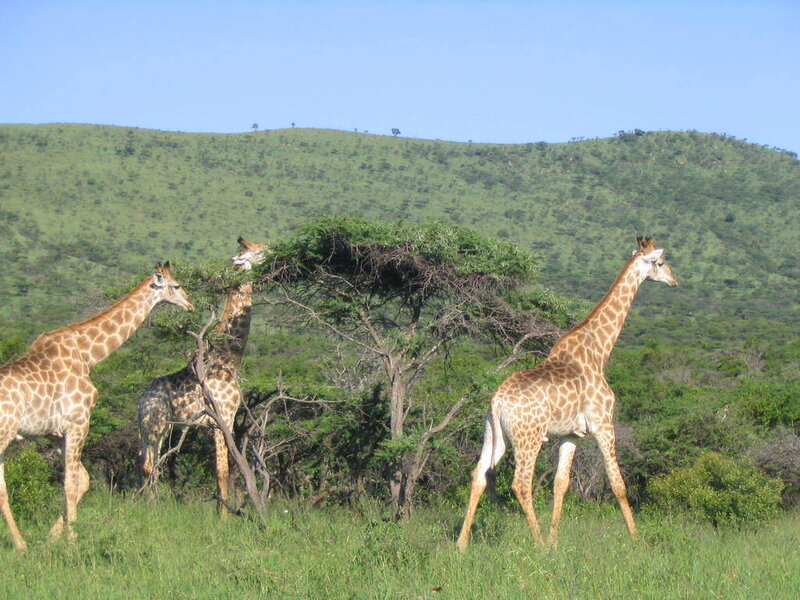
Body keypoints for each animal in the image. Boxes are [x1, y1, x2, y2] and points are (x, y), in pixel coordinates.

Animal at [0, 263, 194, 551]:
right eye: (177, 285)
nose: (190, 304)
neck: (88, 355)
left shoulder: (57, 432)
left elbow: (83, 480)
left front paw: (53, 536)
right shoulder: (78, 423)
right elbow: (70, 483)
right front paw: (72, 540)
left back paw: (22, 544)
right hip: (4, 433)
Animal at [138, 237, 268, 514]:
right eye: (261, 250)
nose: (276, 252)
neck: (228, 360)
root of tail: (141, 400)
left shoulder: (227, 419)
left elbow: (230, 470)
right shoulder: (222, 418)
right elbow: (222, 470)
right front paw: (223, 517)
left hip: (156, 427)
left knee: (146, 463)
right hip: (156, 424)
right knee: (150, 465)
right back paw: (152, 508)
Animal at [456, 236, 677, 551]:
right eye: (659, 262)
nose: (674, 279)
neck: (599, 352)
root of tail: (497, 401)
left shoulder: (572, 434)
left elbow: (560, 484)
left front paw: (555, 542)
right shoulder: (603, 424)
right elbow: (618, 484)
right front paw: (636, 541)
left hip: (494, 433)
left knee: (478, 476)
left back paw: (461, 544)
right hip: (529, 437)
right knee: (520, 483)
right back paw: (535, 542)